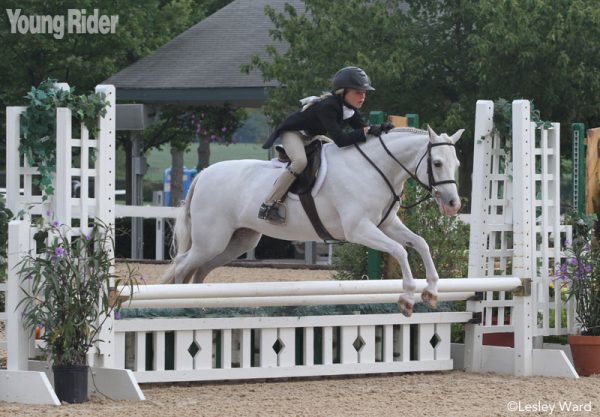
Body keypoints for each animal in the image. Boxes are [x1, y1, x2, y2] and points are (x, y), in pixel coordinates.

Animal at [163, 127, 464, 316]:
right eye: (437, 163)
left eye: (457, 164)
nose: (453, 204)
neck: (375, 169)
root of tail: (203, 174)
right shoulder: (359, 230)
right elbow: (401, 251)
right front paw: (407, 299)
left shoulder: (386, 225)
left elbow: (421, 244)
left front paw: (432, 292)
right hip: (211, 240)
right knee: (182, 265)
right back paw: (179, 307)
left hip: (237, 241)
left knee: (201, 270)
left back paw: (199, 306)